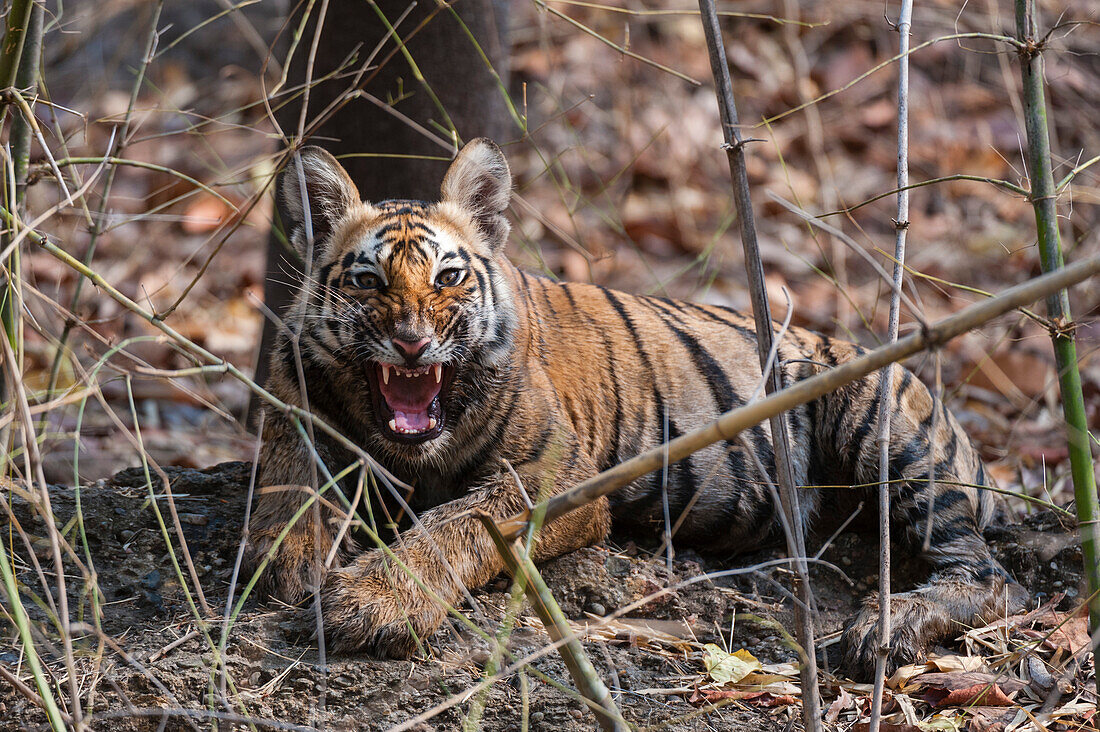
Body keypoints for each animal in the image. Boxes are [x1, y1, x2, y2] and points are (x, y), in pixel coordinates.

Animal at [245, 137, 1025, 673]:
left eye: (448, 277)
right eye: (368, 281)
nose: (411, 342)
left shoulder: (556, 477)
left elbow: (457, 524)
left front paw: (372, 601)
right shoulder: (292, 404)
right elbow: (288, 486)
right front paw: (288, 560)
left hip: (883, 424)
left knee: (989, 577)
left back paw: (886, 626)